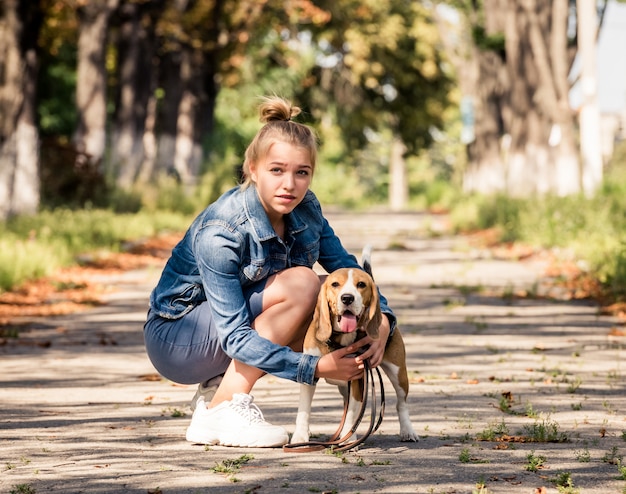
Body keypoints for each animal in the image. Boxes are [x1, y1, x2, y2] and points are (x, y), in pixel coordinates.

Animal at [290, 251, 416, 444]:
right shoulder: (309, 372)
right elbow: (304, 410)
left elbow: (351, 414)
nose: (347, 298)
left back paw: (407, 430)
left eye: (361, 285)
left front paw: (348, 440)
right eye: (335, 284)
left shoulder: (358, 380)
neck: (339, 338)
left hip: (399, 374)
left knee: (401, 403)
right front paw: (300, 437)